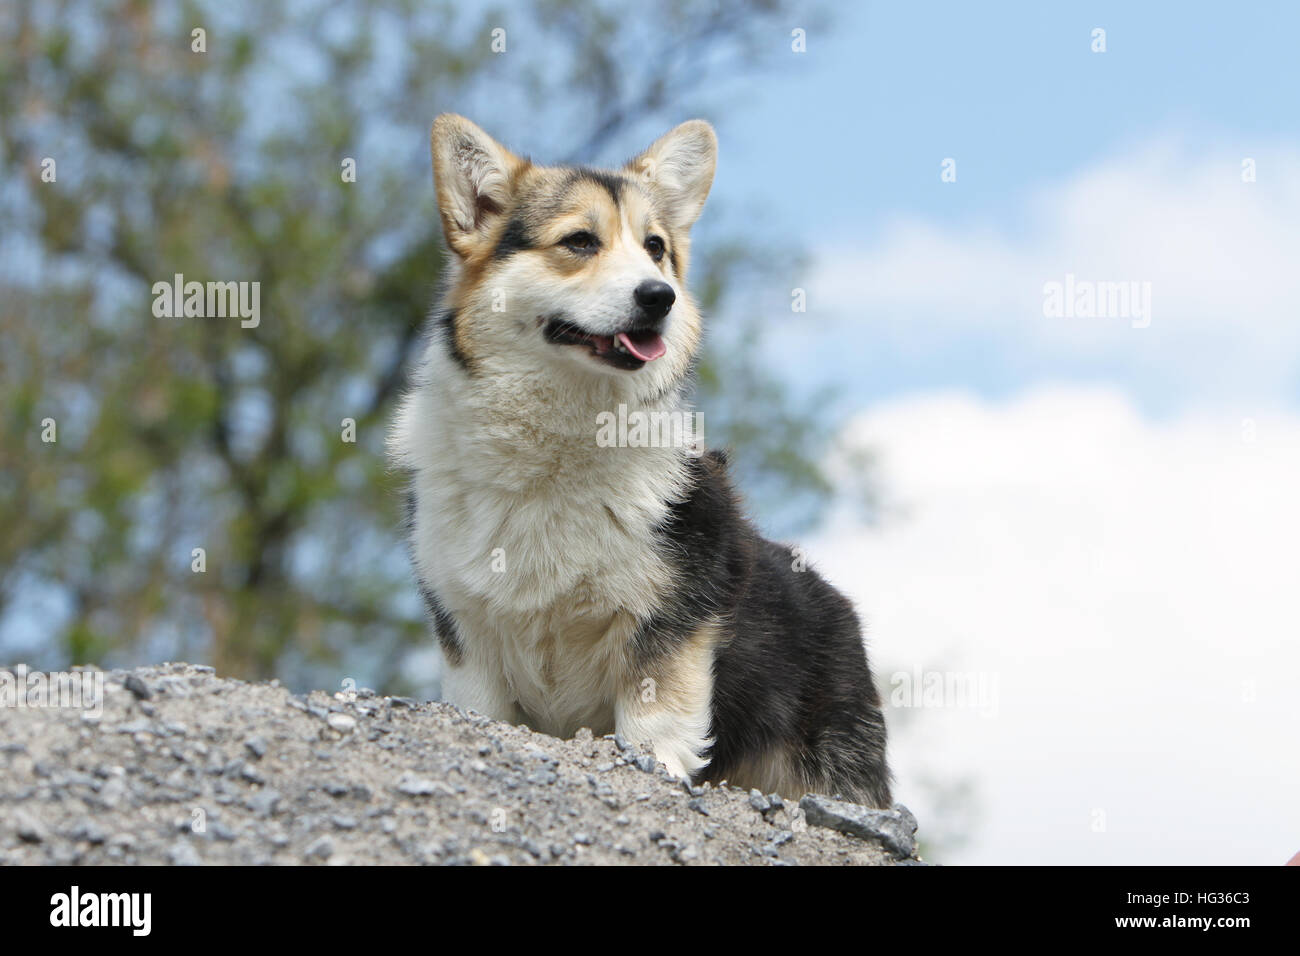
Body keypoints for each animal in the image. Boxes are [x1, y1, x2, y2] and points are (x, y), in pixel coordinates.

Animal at [387, 113, 894, 806]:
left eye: (655, 247)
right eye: (579, 241)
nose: (661, 297)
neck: (562, 439)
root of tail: (840, 604)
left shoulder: (670, 630)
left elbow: (655, 731)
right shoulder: (469, 638)